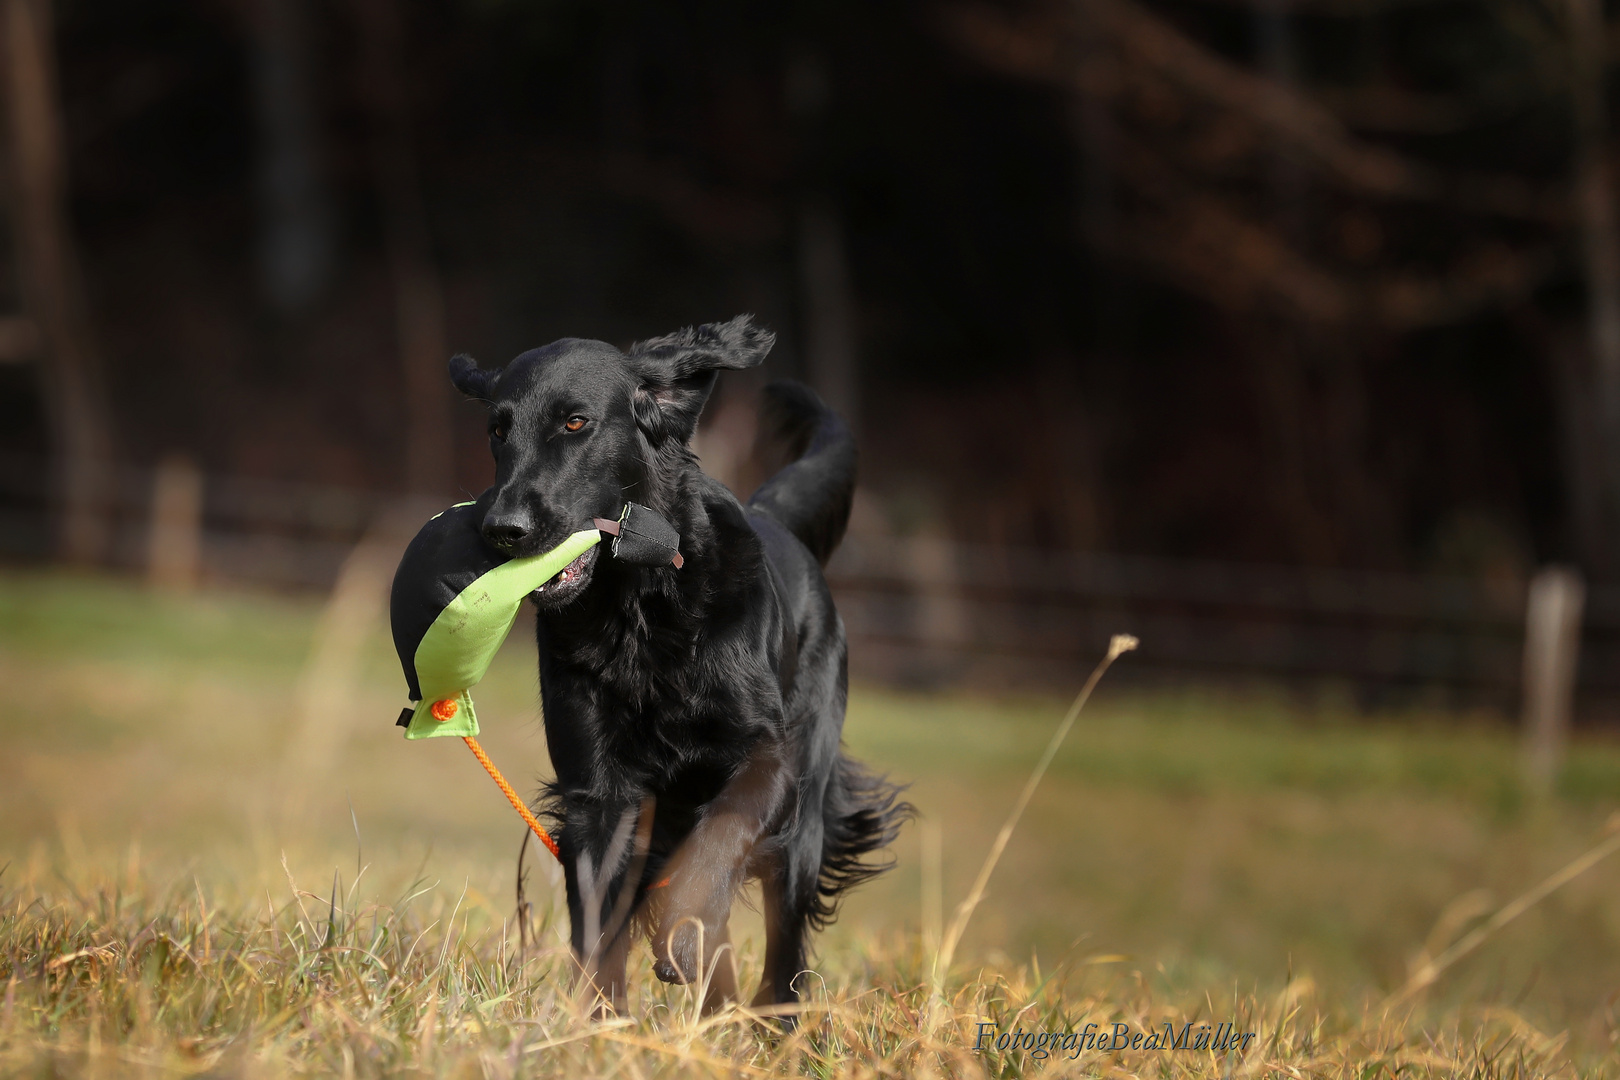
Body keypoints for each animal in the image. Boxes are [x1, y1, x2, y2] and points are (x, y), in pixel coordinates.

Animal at [450, 312, 913, 1016]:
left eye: (576, 422)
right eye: (497, 431)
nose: (501, 529)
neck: (641, 610)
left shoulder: (767, 761)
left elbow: (716, 845)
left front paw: (684, 940)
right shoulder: (599, 792)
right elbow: (601, 919)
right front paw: (602, 1023)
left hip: (804, 818)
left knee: (784, 947)